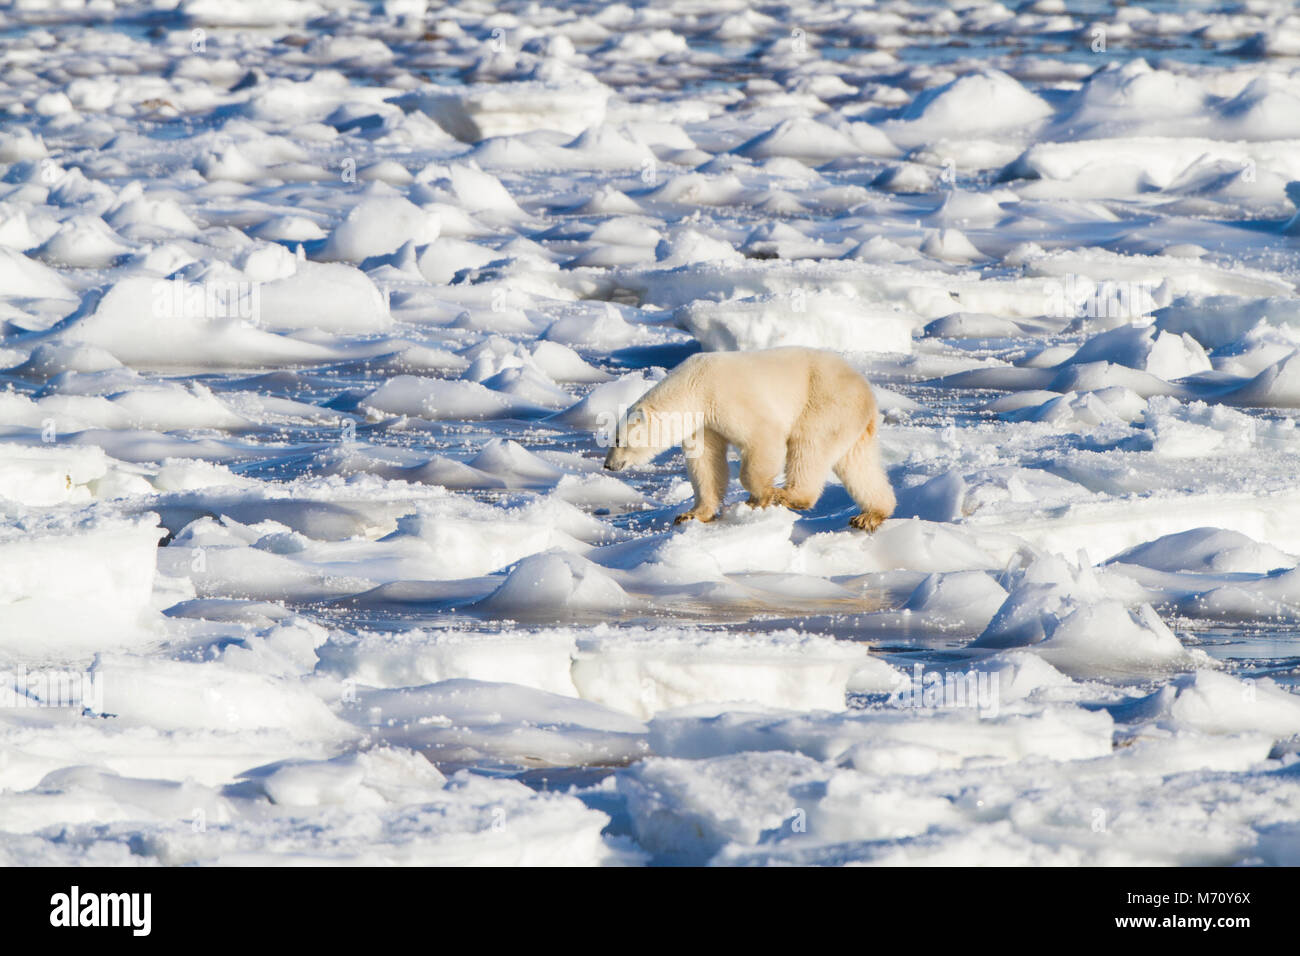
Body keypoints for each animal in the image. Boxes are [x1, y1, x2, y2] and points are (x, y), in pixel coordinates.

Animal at [600, 348, 894, 535]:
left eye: (618, 439)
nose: (608, 466)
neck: (694, 385)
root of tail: (866, 388)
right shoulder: (704, 422)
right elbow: (706, 464)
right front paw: (691, 514)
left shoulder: (726, 397)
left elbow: (762, 437)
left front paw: (759, 497)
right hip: (852, 422)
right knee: (858, 464)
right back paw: (870, 515)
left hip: (825, 401)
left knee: (810, 445)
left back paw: (788, 495)